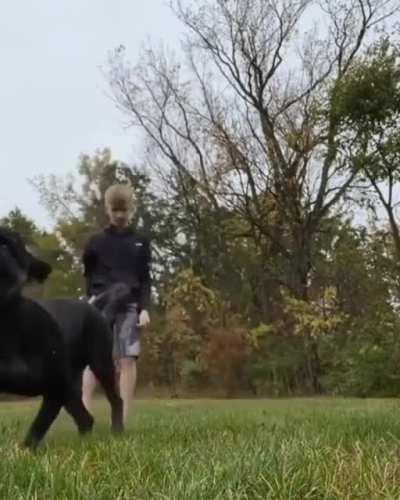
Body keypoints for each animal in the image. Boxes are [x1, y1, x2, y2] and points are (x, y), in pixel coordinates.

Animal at [0, 229, 123, 448]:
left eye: (8, 245)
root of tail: (94, 309)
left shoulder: (55, 389)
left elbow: (37, 428)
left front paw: (26, 450)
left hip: (101, 366)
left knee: (115, 401)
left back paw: (117, 432)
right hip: (72, 387)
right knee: (86, 419)